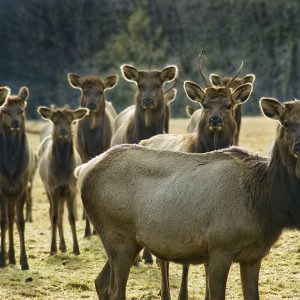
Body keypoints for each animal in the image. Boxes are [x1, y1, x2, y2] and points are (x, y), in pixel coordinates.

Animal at [37, 105, 88, 255]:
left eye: (70, 121)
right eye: (55, 121)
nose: (63, 131)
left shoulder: (71, 188)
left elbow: (71, 217)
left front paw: (76, 249)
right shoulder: (53, 188)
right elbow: (54, 217)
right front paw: (52, 249)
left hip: (63, 194)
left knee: (61, 212)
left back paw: (64, 246)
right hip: (48, 188)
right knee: (54, 213)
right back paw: (60, 246)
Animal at [67, 72, 118, 237]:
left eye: (100, 91)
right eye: (84, 91)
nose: (91, 105)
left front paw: (95, 229)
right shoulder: (82, 152)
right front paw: (87, 230)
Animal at [74, 96, 300, 300]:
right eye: (285, 123)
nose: (298, 147)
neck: (265, 203)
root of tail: (83, 170)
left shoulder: (254, 255)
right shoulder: (220, 247)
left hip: (129, 240)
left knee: (100, 283)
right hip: (116, 233)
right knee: (115, 290)